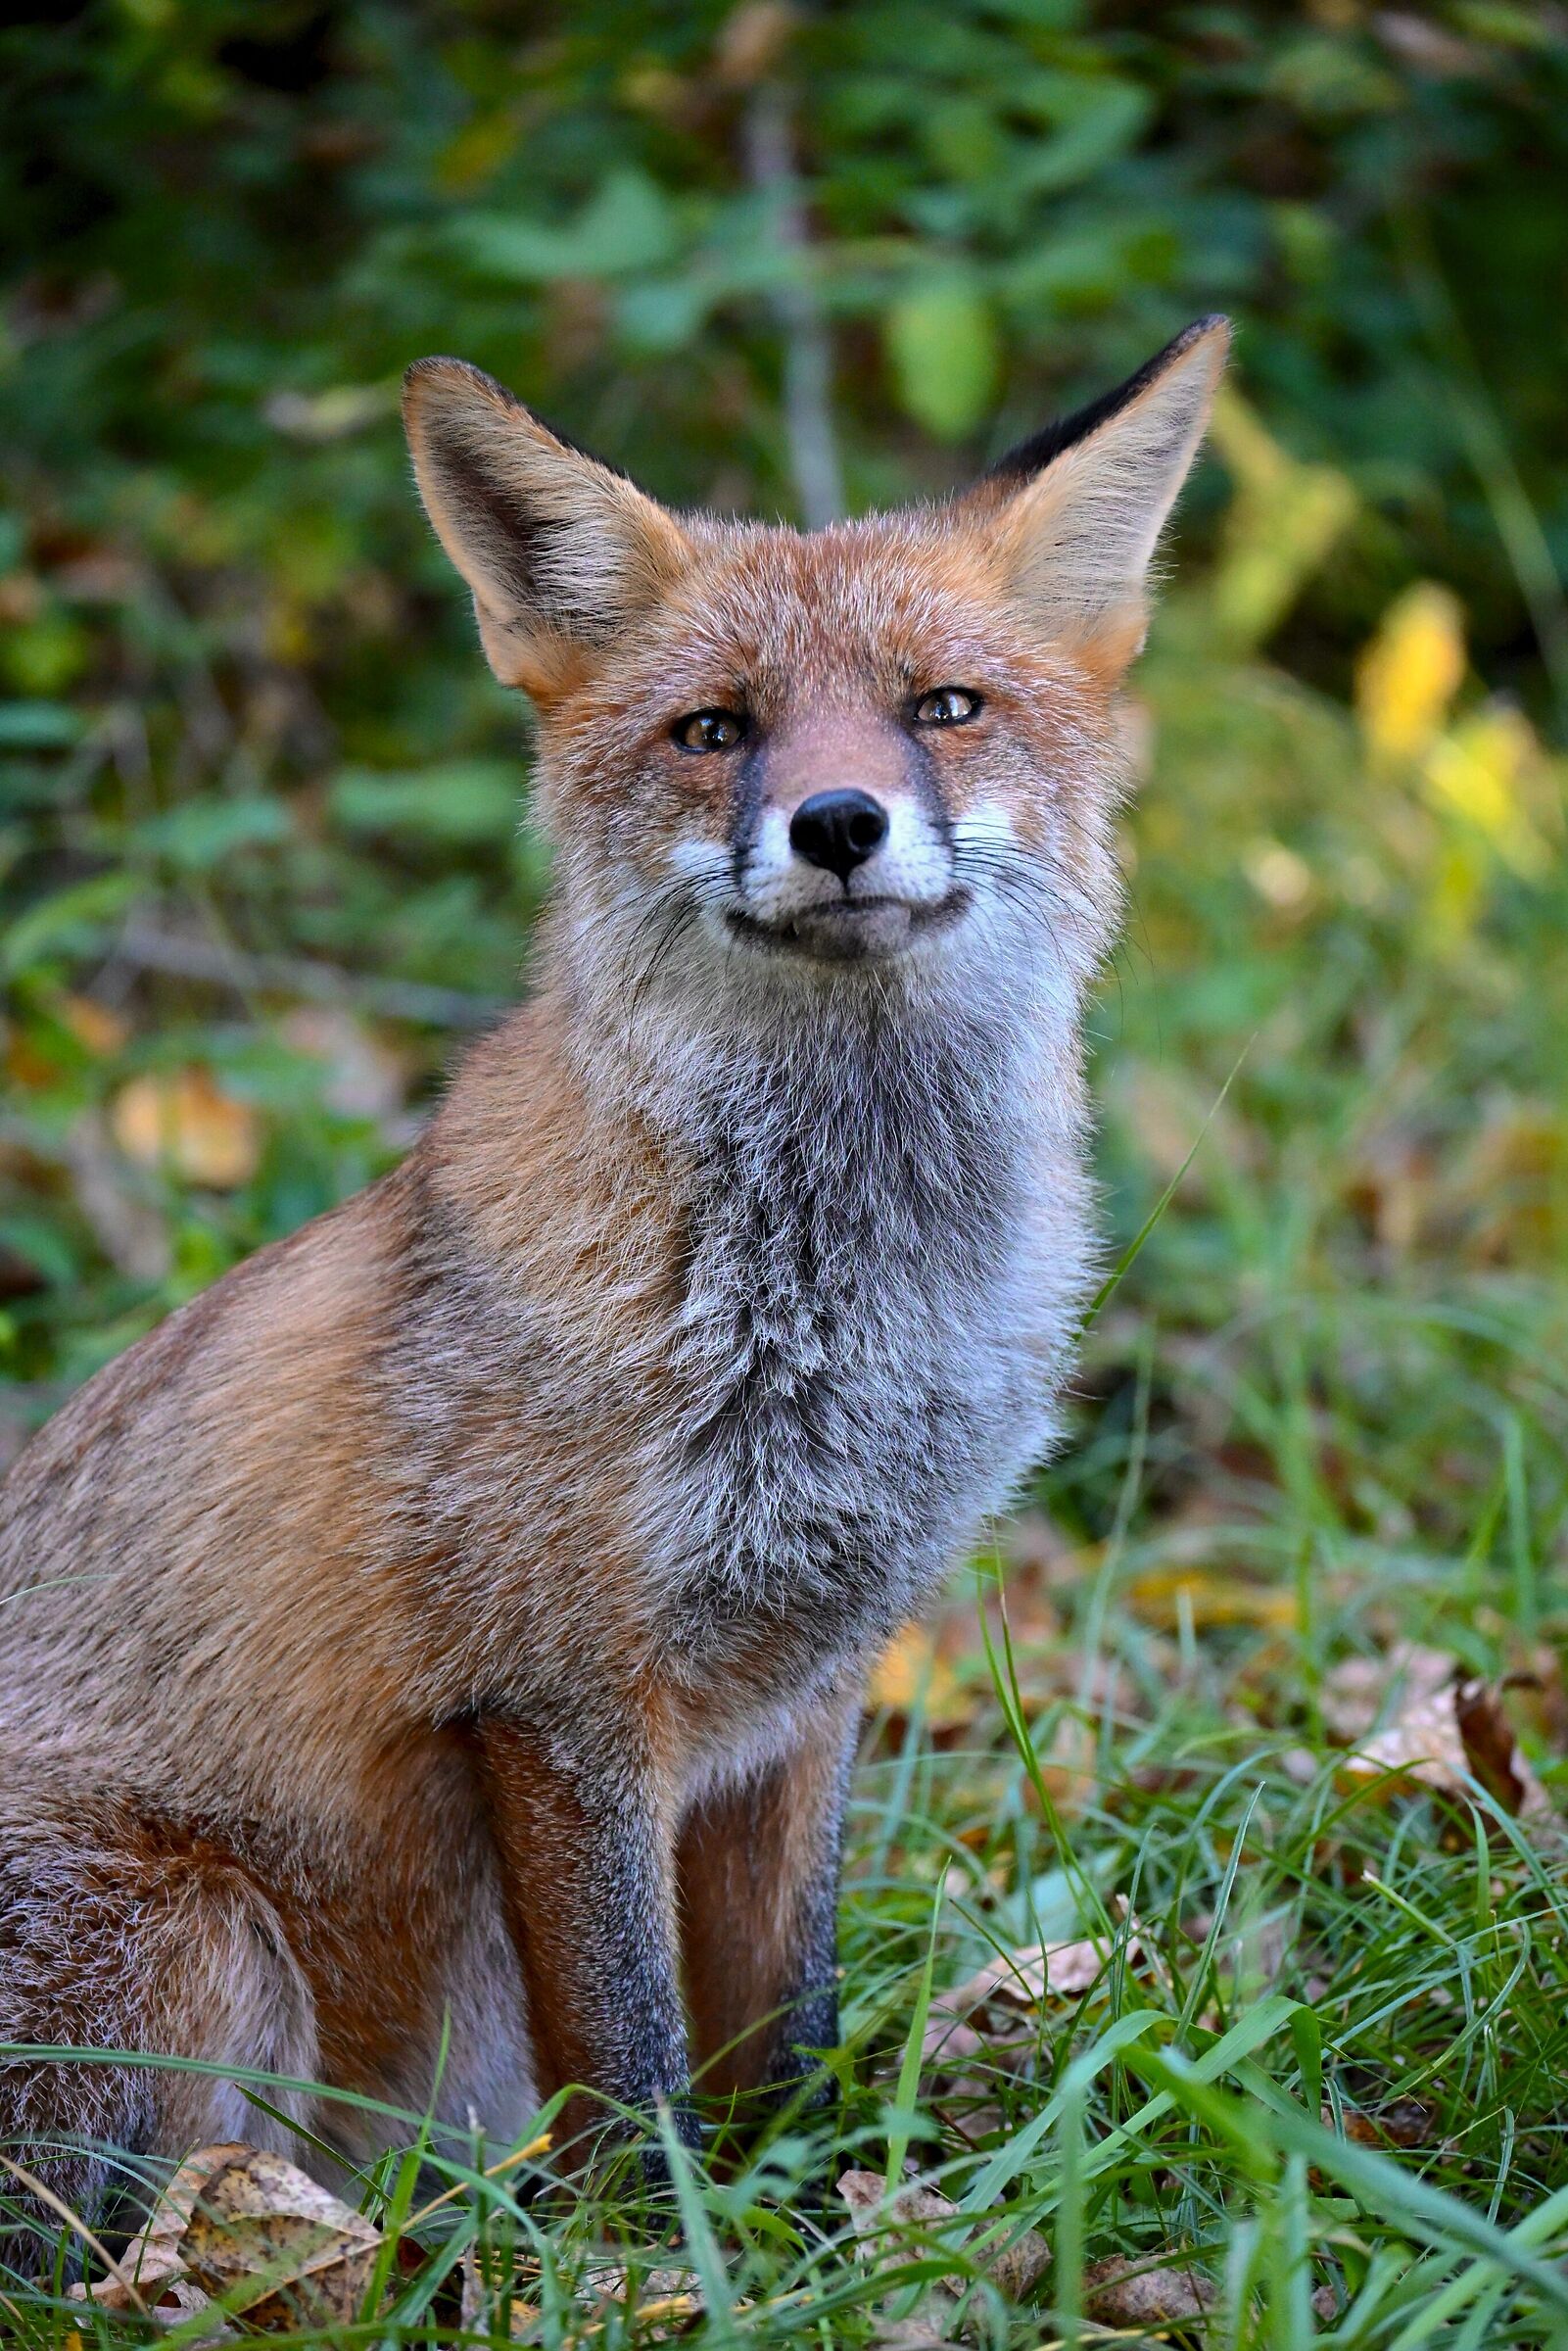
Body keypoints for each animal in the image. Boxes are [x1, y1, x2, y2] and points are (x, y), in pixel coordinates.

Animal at [0, 317, 1227, 2237]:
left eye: (941, 707)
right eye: (715, 730)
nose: (838, 822)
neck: (831, 1321)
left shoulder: (808, 1687)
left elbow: (779, 2023)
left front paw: (806, 2222)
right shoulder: (560, 1699)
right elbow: (633, 2051)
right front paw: (661, 2259)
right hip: (202, 1945)